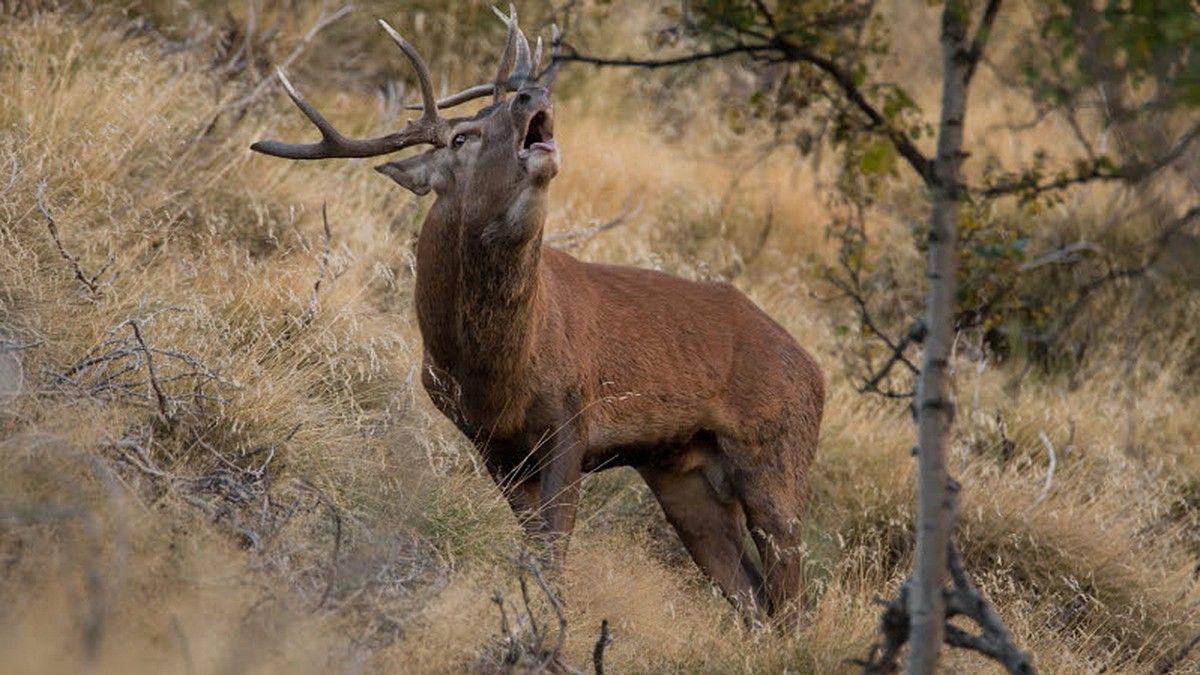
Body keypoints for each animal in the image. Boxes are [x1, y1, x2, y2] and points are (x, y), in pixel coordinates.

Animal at [248, 7, 820, 619]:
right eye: (462, 136)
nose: (531, 94)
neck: (497, 371)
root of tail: (817, 371)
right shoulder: (489, 445)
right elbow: (536, 544)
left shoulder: (572, 417)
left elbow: (555, 543)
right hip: (683, 475)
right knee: (754, 602)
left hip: (776, 454)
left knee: (790, 603)